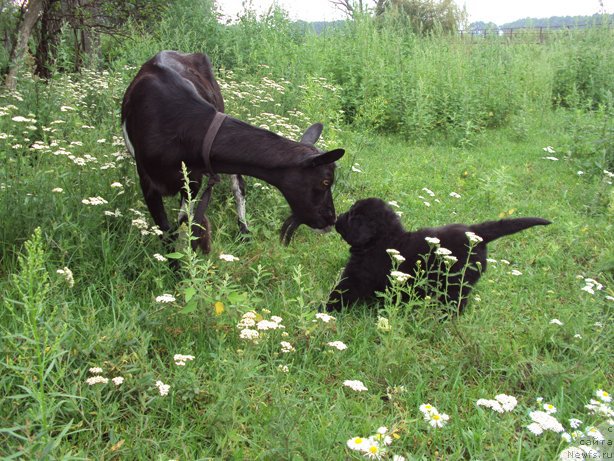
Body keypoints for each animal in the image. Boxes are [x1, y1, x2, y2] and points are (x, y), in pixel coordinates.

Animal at [328, 198, 552, 312]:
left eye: (352, 216)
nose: (337, 218)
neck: (383, 239)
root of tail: (476, 233)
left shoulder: (356, 277)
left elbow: (340, 293)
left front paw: (325, 310)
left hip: (455, 284)